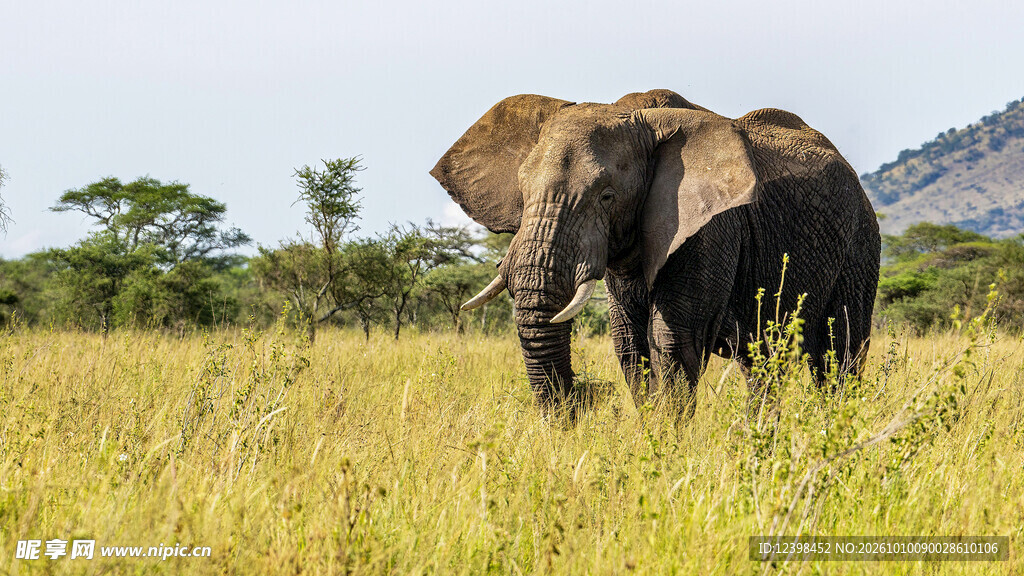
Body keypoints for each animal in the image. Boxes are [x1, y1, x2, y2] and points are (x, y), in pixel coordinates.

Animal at [431, 89, 880, 415]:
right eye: (522, 193)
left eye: (607, 196)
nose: (578, 406)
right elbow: (630, 345)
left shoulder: (711, 229)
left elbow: (674, 342)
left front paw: (665, 451)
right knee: (764, 362)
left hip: (861, 242)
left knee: (838, 354)